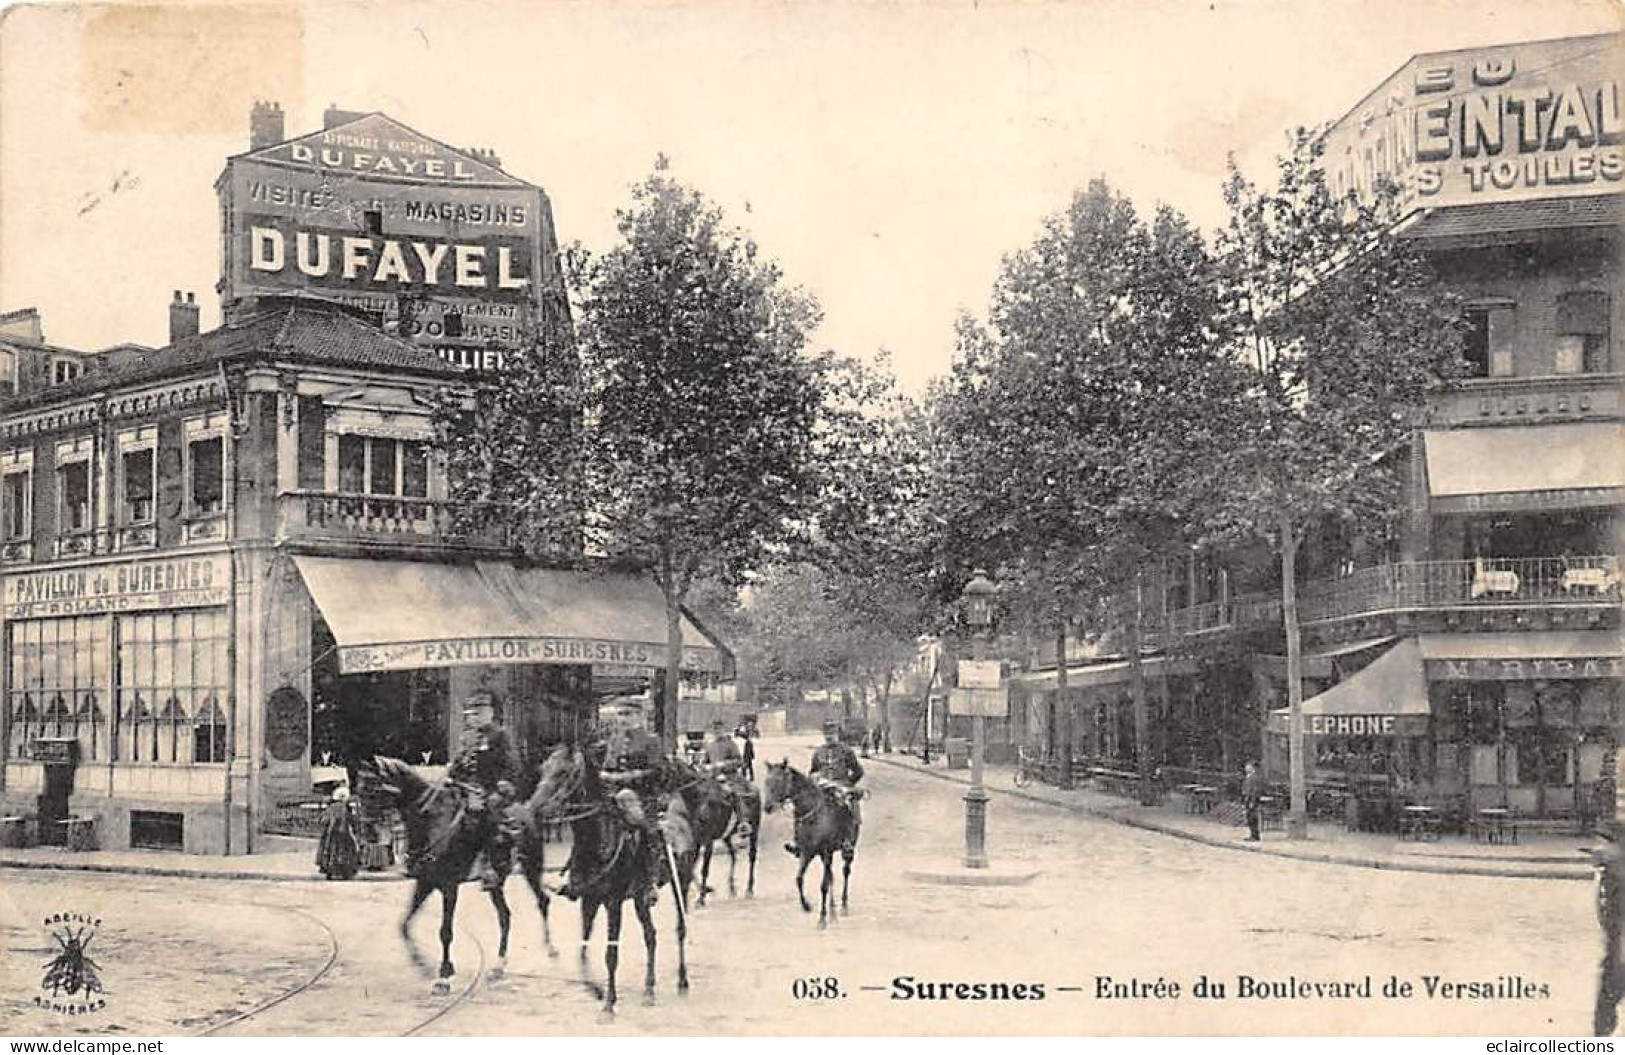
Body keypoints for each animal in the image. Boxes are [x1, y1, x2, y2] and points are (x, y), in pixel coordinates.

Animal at [352, 757, 555, 988]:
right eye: (360, 790)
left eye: (373, 790)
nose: (366, 834)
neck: (432, 823)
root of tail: (528, 809)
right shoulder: (425, 883)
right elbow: (404, 924)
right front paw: (421, 964)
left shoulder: (450, 887)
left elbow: (445, 932)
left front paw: (444, 975)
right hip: (497, 883)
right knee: (505, 916)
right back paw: (498, 966)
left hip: (532, 868)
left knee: (543, 901)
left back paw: (550, 951)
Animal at [529, 741, 689, 1020]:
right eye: (543, 769)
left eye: (564, 773)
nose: (536, 808)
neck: (597, 841)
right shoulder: (588, 901)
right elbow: (582, 950)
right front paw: (595, 989)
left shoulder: (613, 904)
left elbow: (610, 954)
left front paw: (609, 1005)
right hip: (639, 899)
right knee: (651, 935)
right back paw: (649, 991)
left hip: (680, 883)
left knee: (680, 929)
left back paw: (682, 981)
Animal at [659, 754, 760, 903]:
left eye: (668, 772)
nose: (661, 800)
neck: (699, 801)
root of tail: (752, 788)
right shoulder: (695, 842)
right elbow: (691, 868)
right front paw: (703, 891)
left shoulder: (708, 842)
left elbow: (704, 869)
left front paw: (701, 898)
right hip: (727, 836)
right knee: (733, 855)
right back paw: (732, 888)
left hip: (754, 830)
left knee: (752, 857)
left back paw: (749, 890)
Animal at [763, 757, 864, 929]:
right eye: (766, 782)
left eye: (780, 781)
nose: (768, 807)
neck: (811, 813)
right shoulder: (807, 852)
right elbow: (799, 879)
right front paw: (807, 906)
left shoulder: (825, 851)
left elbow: (823, 885)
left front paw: (822, 918)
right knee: (831, 876)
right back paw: (833, 911)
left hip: (847, 849)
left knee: (845, 872)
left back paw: (843, 907)